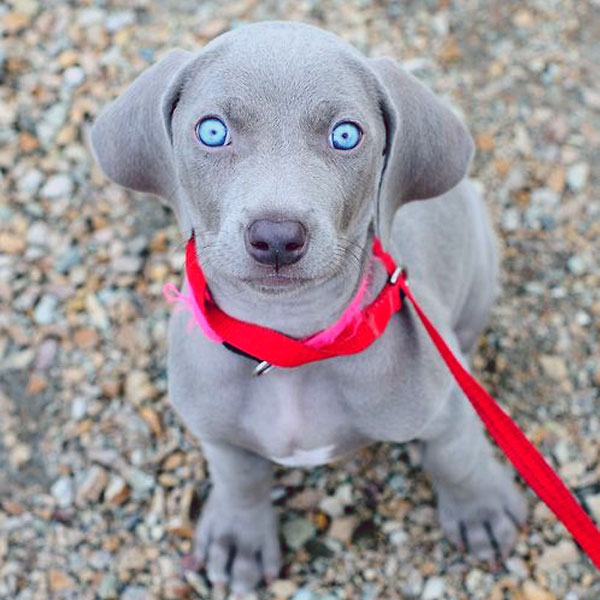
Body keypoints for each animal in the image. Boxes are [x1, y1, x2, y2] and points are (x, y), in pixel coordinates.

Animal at [91, 19, 528, 596]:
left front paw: (480, 511)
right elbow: (240, 477)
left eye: (345, 135)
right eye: (212, 131)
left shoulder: (446, 405)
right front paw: (240, 539)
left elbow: (456, 456)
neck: (290, 343)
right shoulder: (214, 427)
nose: (277, 237)